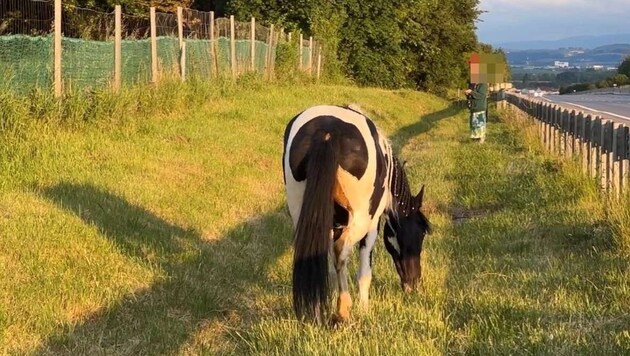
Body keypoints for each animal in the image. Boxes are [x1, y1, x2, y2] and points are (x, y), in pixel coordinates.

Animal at [284, 105, 432, 322]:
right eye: (420, 234)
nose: (413, 284)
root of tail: (327, 132)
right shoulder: (372, 225)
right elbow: (363, 270)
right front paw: (364, 308)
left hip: (300, 212)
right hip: (360, 219)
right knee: (341, 251)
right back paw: (344, 309)